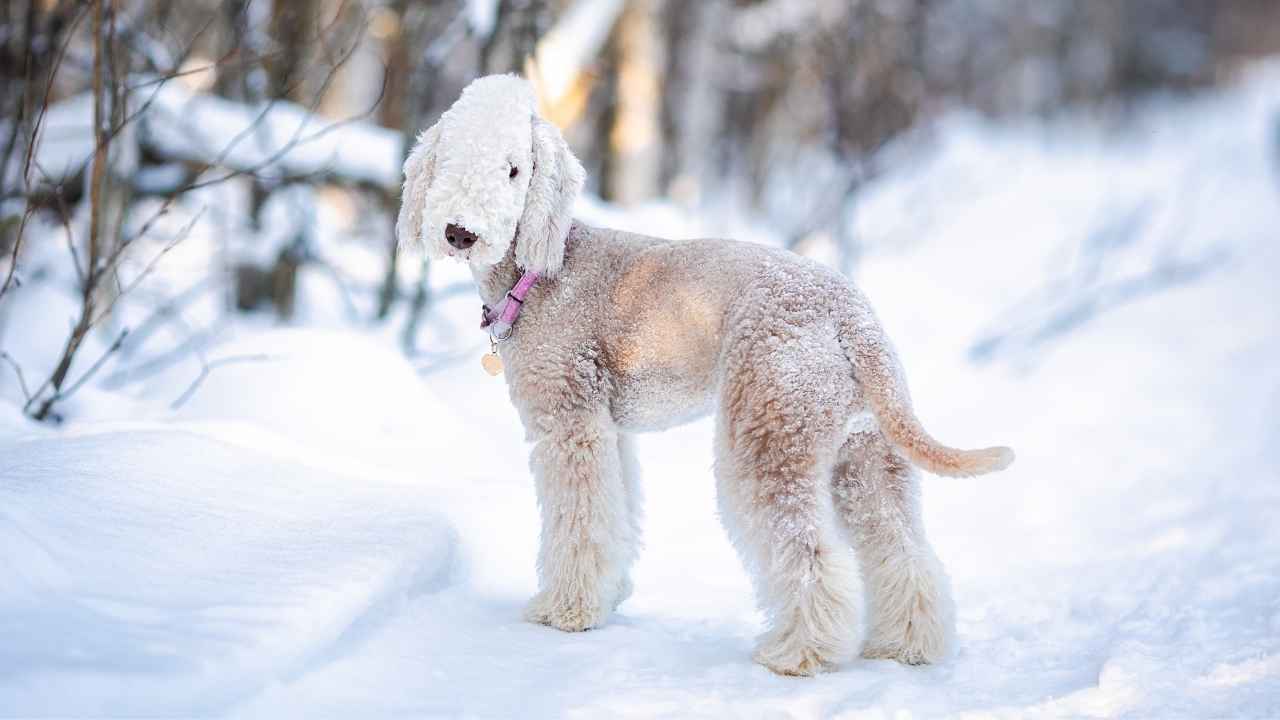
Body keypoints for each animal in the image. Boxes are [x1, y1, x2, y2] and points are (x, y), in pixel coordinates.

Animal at [394, 75, 1013, 676]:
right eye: (447, 159)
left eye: (514, 170)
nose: (459, 232)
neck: (543, 268)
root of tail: (850, 317)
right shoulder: (607, 429)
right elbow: (615, 514)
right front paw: (606, 597)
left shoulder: (567, 421)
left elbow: (580, 518)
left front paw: (563, 613)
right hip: (865, 451)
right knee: (901, 547)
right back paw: (905, 647)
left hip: (770, 425)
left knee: (808, 551)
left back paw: (797, 654)